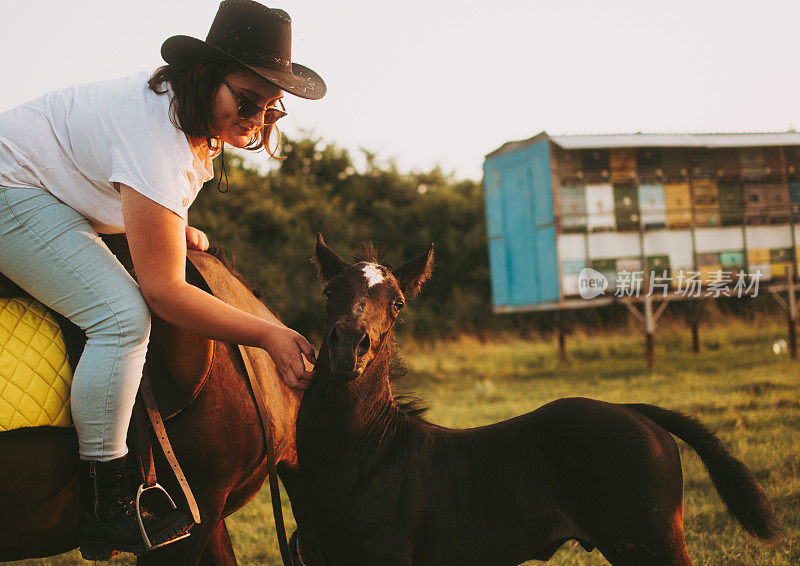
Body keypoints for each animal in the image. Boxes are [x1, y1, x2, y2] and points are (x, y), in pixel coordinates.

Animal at [292, 235, 780, 566]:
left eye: (396, 303)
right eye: (330, 292)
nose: (348, 347)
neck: (369, 453)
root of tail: (635, 411)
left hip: (656, 543)